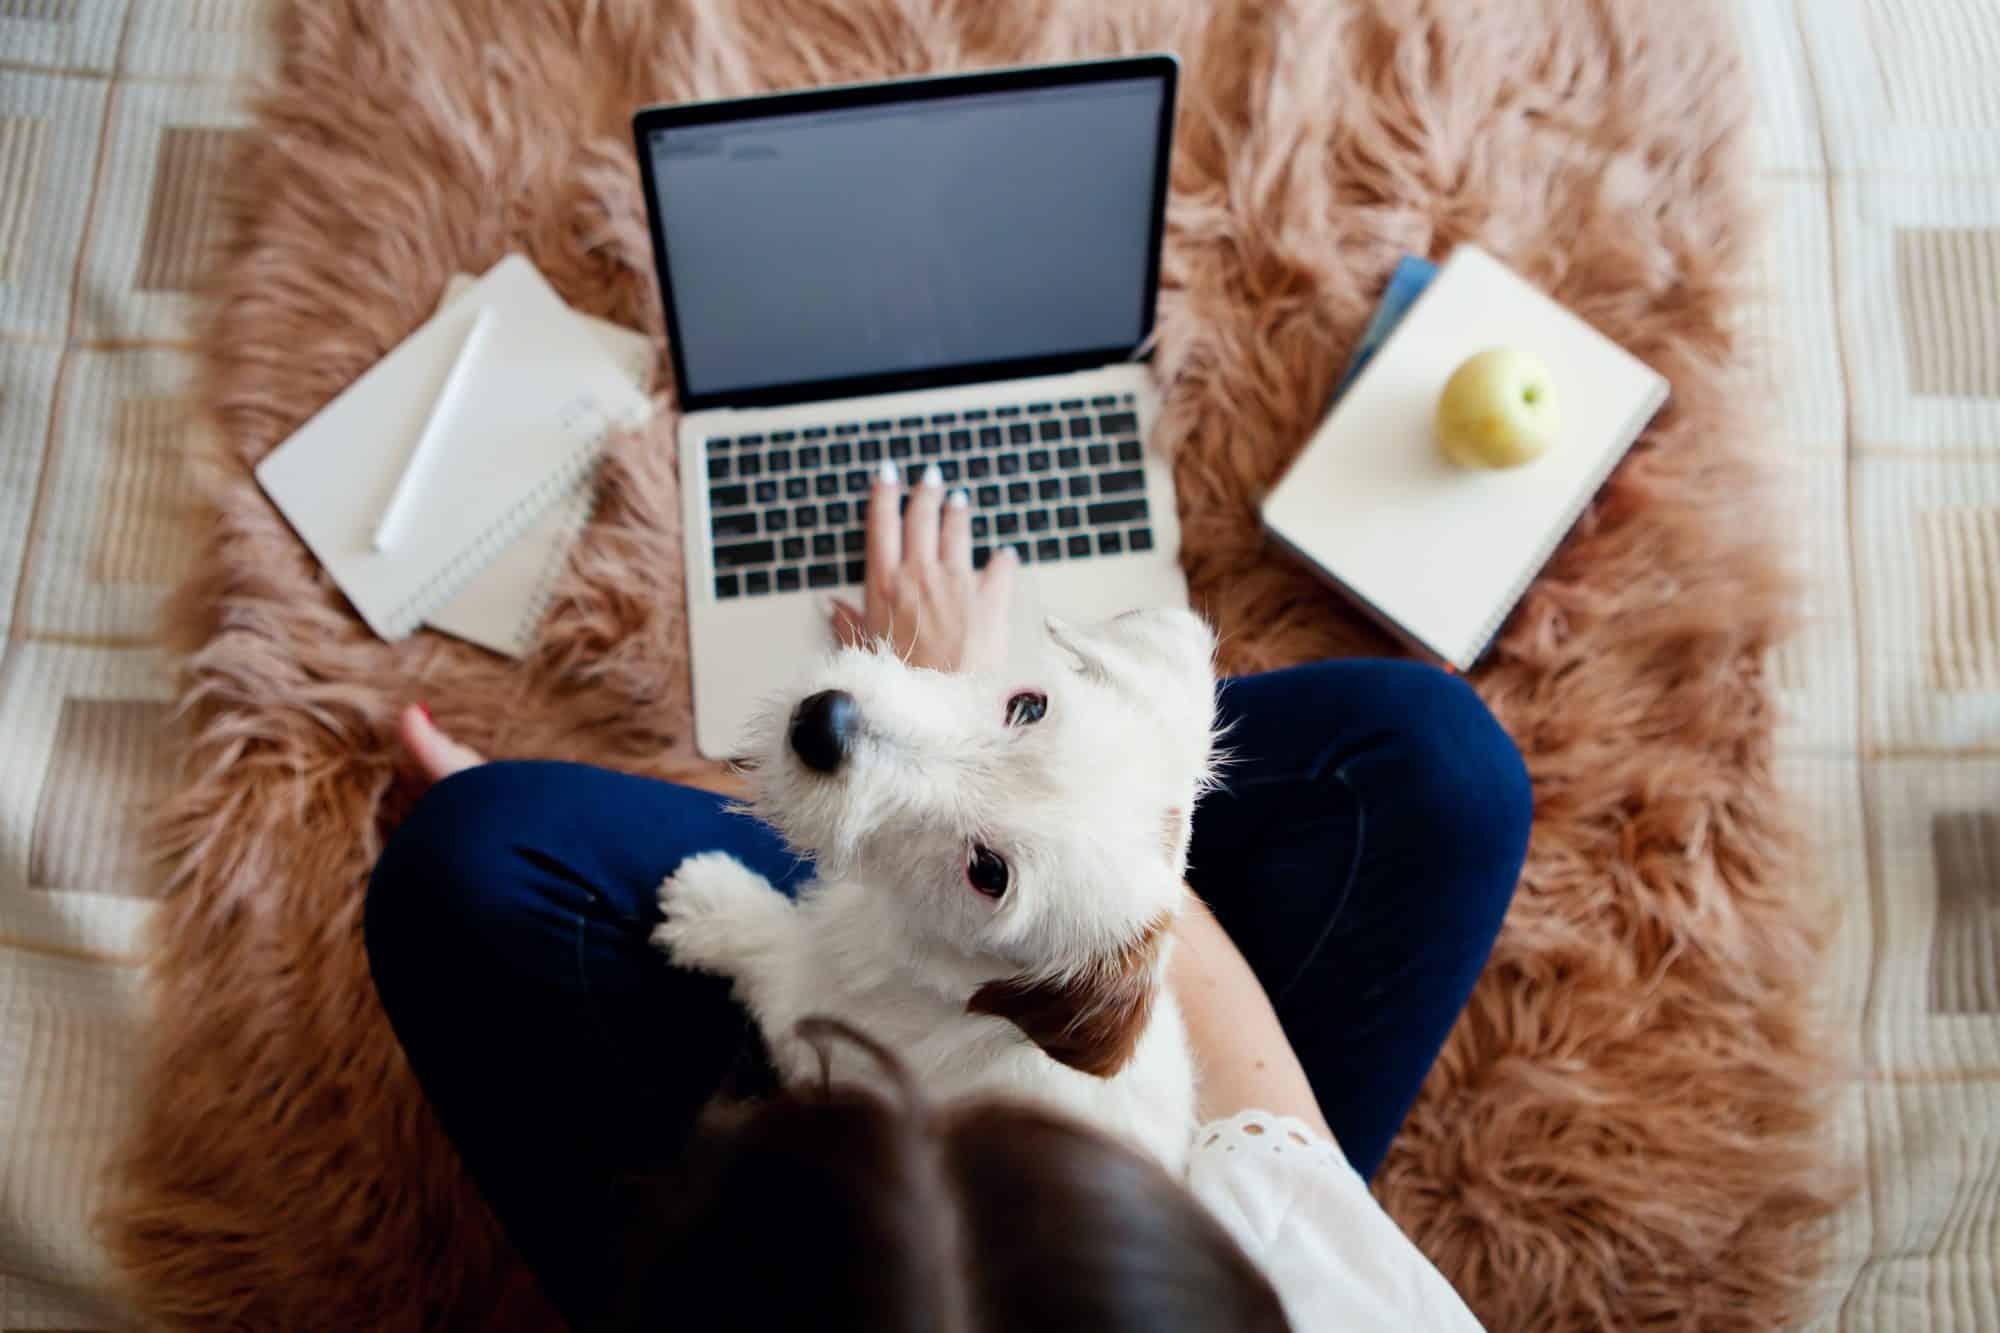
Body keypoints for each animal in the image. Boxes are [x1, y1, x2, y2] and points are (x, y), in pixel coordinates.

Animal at [656, 608, 1216, 1168]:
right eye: (1029, 706)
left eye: (989, 872)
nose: (823, 725)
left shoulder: (812, 1014)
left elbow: (772, 950)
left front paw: (710, 903)